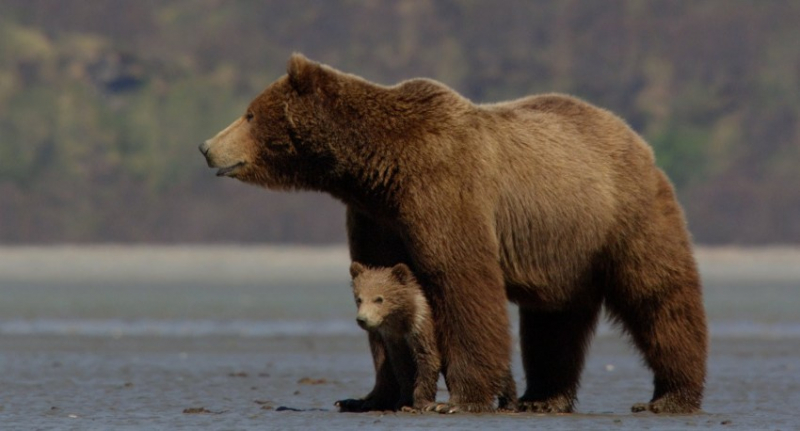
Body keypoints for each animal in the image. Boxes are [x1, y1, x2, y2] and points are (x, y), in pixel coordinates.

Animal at [198, 54, 708, 416]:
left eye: (249, 114)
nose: (206, 146)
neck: (377, 170)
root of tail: (634, 137)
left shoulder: (443, 190)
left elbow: (462, 282)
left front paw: (457, 398)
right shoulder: (377, 216)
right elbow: (381, 281)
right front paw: (368, 396)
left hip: (623, 216)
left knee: (658, 295)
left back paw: (670, 396)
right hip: (561, 245)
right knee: (553, 318)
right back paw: (543, 398)